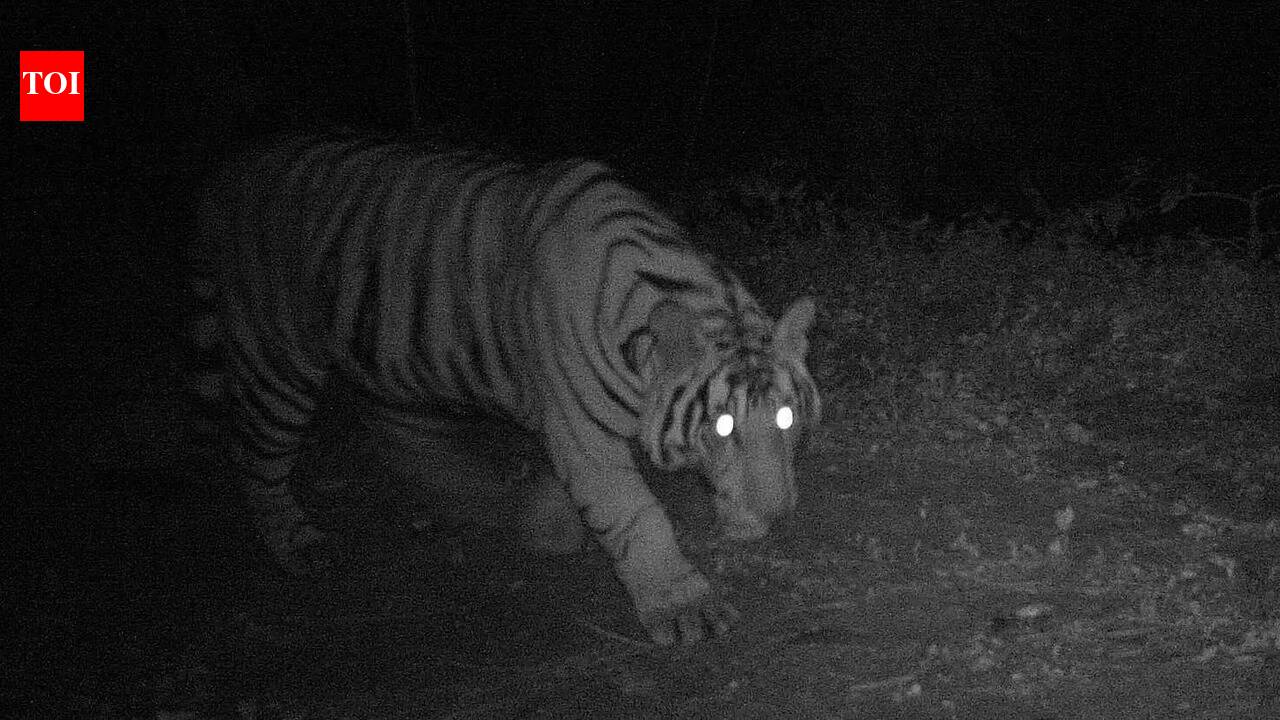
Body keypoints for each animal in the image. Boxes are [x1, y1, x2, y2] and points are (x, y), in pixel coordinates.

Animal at [190, 133, 820, 646]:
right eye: (723, 426)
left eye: (786, 420)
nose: (779, 516)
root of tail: (232, 169)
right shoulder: (584, 439)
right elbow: (636, 515)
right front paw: (684, 606)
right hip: (276, 362)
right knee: (255, 456)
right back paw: (298, 543)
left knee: (398, 429)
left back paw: (488, 496)